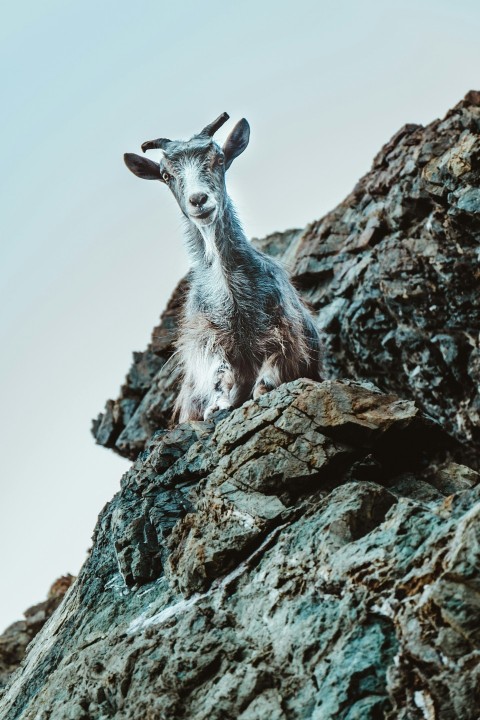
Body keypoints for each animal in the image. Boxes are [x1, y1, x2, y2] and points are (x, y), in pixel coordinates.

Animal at [124, 112, 322, 422]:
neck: (230, 292)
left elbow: (276, 359)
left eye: (218, 158)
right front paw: (217, 403)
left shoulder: (286, 328)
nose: (198, 200)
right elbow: (218, 370)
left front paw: (262, 388)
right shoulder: (205, 337)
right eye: (166, 175)